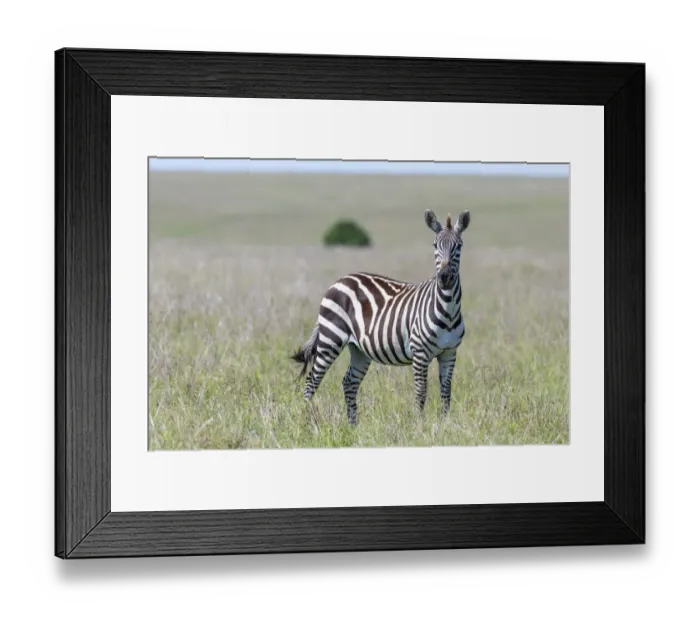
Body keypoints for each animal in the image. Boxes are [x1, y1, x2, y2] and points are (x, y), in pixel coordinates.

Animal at [291, 209, 470, 425]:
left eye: (459, 246)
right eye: (435, 245)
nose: (444, 277)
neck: (448, 311)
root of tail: (340, 280)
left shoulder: (449, 353)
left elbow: (446, 393)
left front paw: (444, 424)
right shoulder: (420, 352)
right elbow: (421, 392)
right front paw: (420, 425)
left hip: (359, 350)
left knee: (349, 382)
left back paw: (353, 425)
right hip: (330, 339)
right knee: (311, 381)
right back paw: (308, 421)